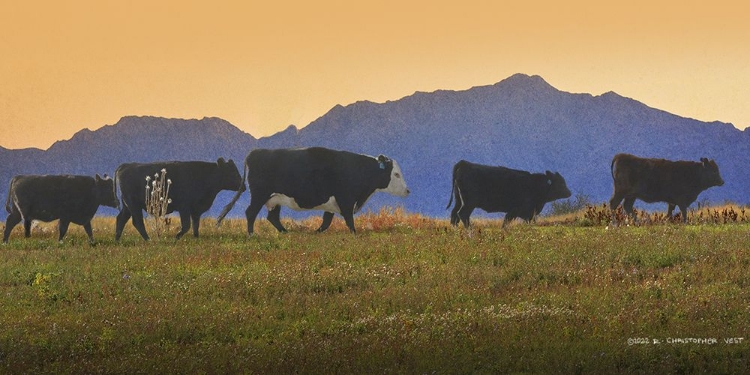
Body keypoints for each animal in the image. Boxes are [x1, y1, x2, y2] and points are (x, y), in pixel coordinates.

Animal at [216, 148, 412, 234]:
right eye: (396, 174)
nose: (407, 191)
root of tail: (255, 152)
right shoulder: (346, 199)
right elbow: (349, 220)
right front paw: (354, 234)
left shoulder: (333, 203)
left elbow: (327, 221)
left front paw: (317, 232)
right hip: (259, 194)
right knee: (251, 213)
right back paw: (251, 233)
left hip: (275, 199)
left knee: (272, 217)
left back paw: (285, 232)